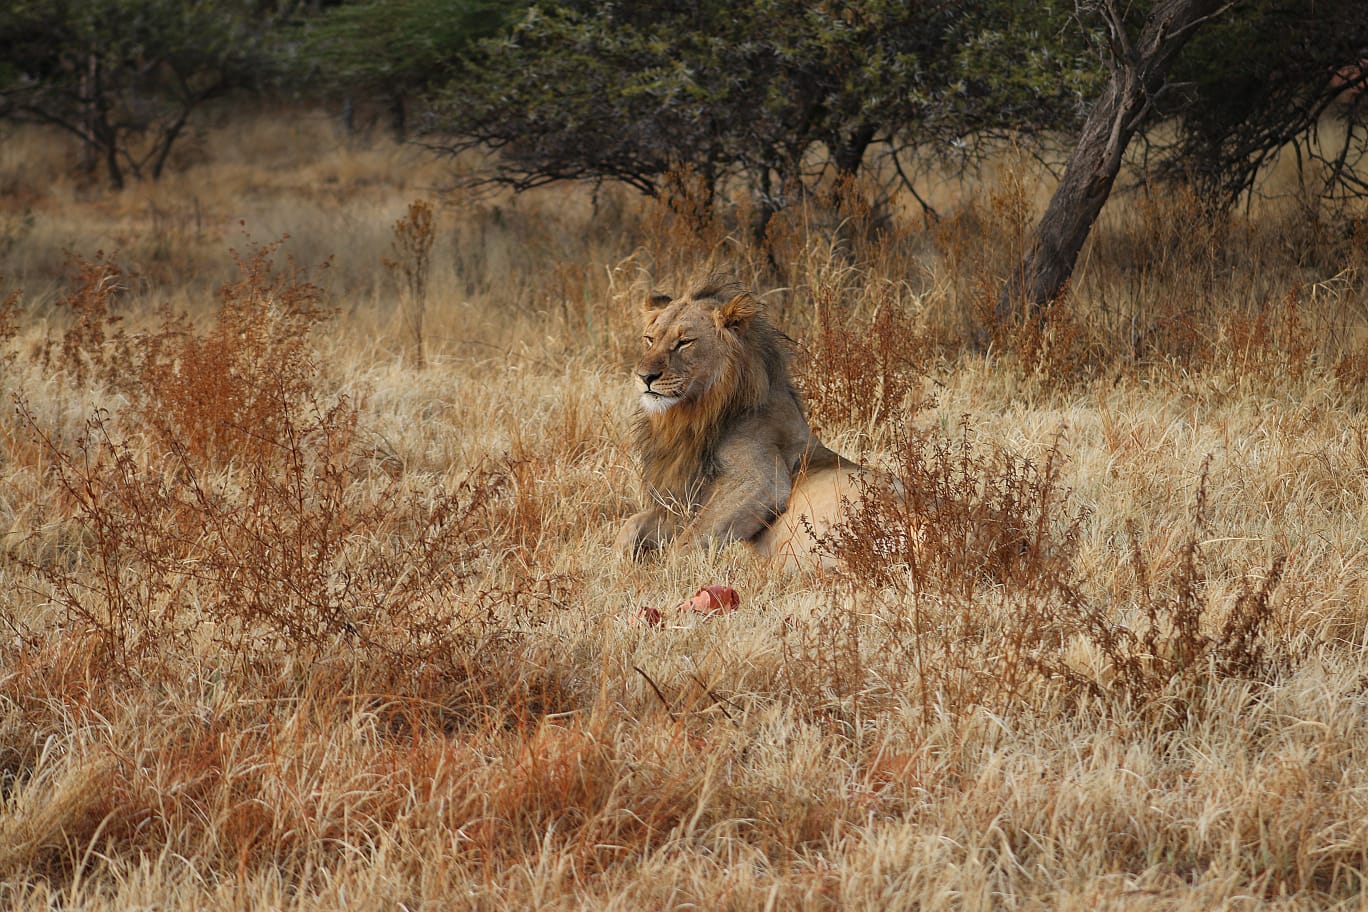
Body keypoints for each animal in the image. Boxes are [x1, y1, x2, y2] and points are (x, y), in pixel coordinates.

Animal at [615, 276, 878, 571]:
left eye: (684, 342)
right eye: (649, 339)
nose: (644, 376)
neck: (695, 417)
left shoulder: (761, 481)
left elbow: (687, 542)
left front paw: (664, 575)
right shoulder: (688, 497)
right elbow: (633, 523)